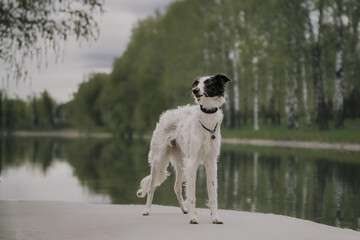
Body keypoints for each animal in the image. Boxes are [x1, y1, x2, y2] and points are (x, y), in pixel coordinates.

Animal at [136, 73, 232, 225]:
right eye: (197, 83)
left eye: (208, 82)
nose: (195, 90)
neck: (207, 118)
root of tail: (166, 115)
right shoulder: (193, 162)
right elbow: (192, 195)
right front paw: (193, 218)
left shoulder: (211, 162)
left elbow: (213, 195)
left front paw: (215, 217)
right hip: (158, 160)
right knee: (151, 187)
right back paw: (147, 210)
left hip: (180, 162)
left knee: (176, 187)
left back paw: (184, 209)